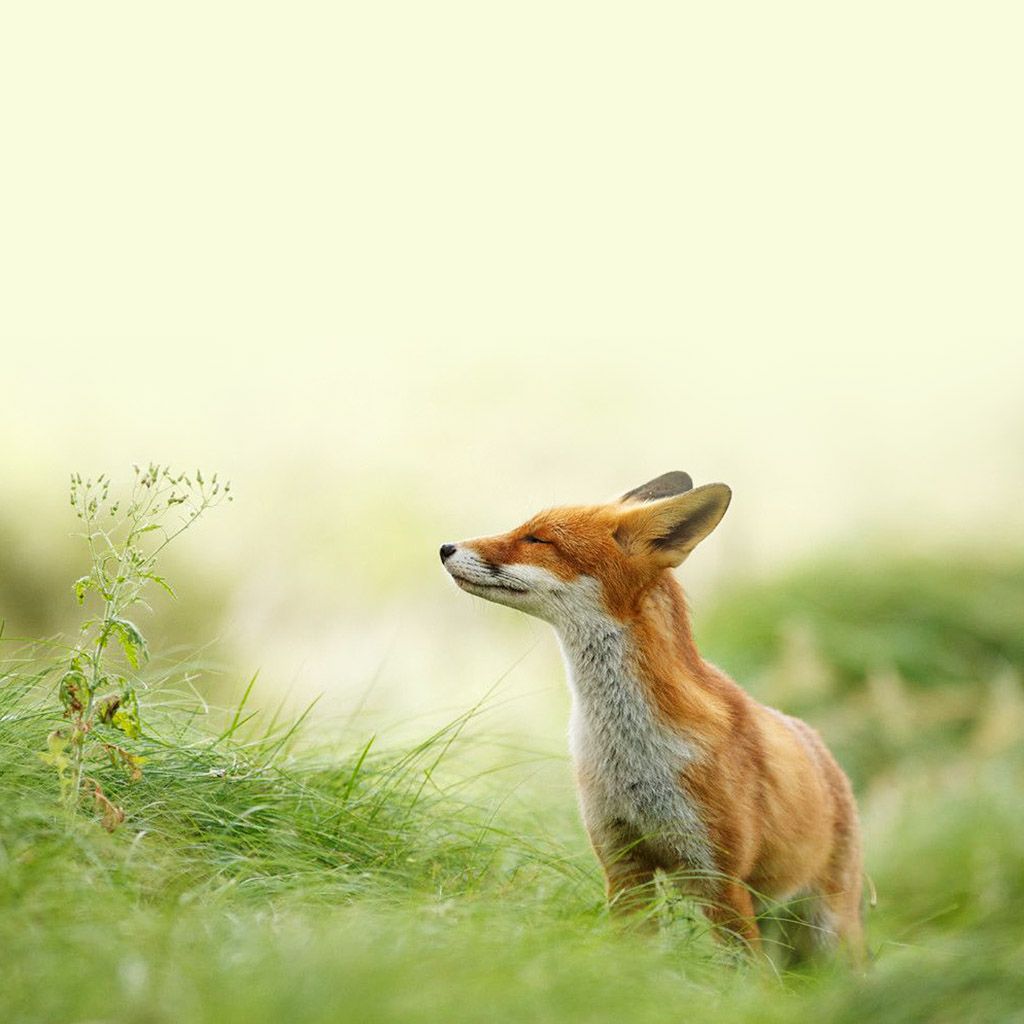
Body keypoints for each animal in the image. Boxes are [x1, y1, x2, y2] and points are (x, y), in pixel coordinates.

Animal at [440, 471, 864, 958]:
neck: (631, 752)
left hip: (830, 929)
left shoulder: (719, 878)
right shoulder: (623, 863)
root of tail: (825, 752)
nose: (445, 547)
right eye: (524, 529)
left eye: (538, 539)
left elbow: (745, 972)